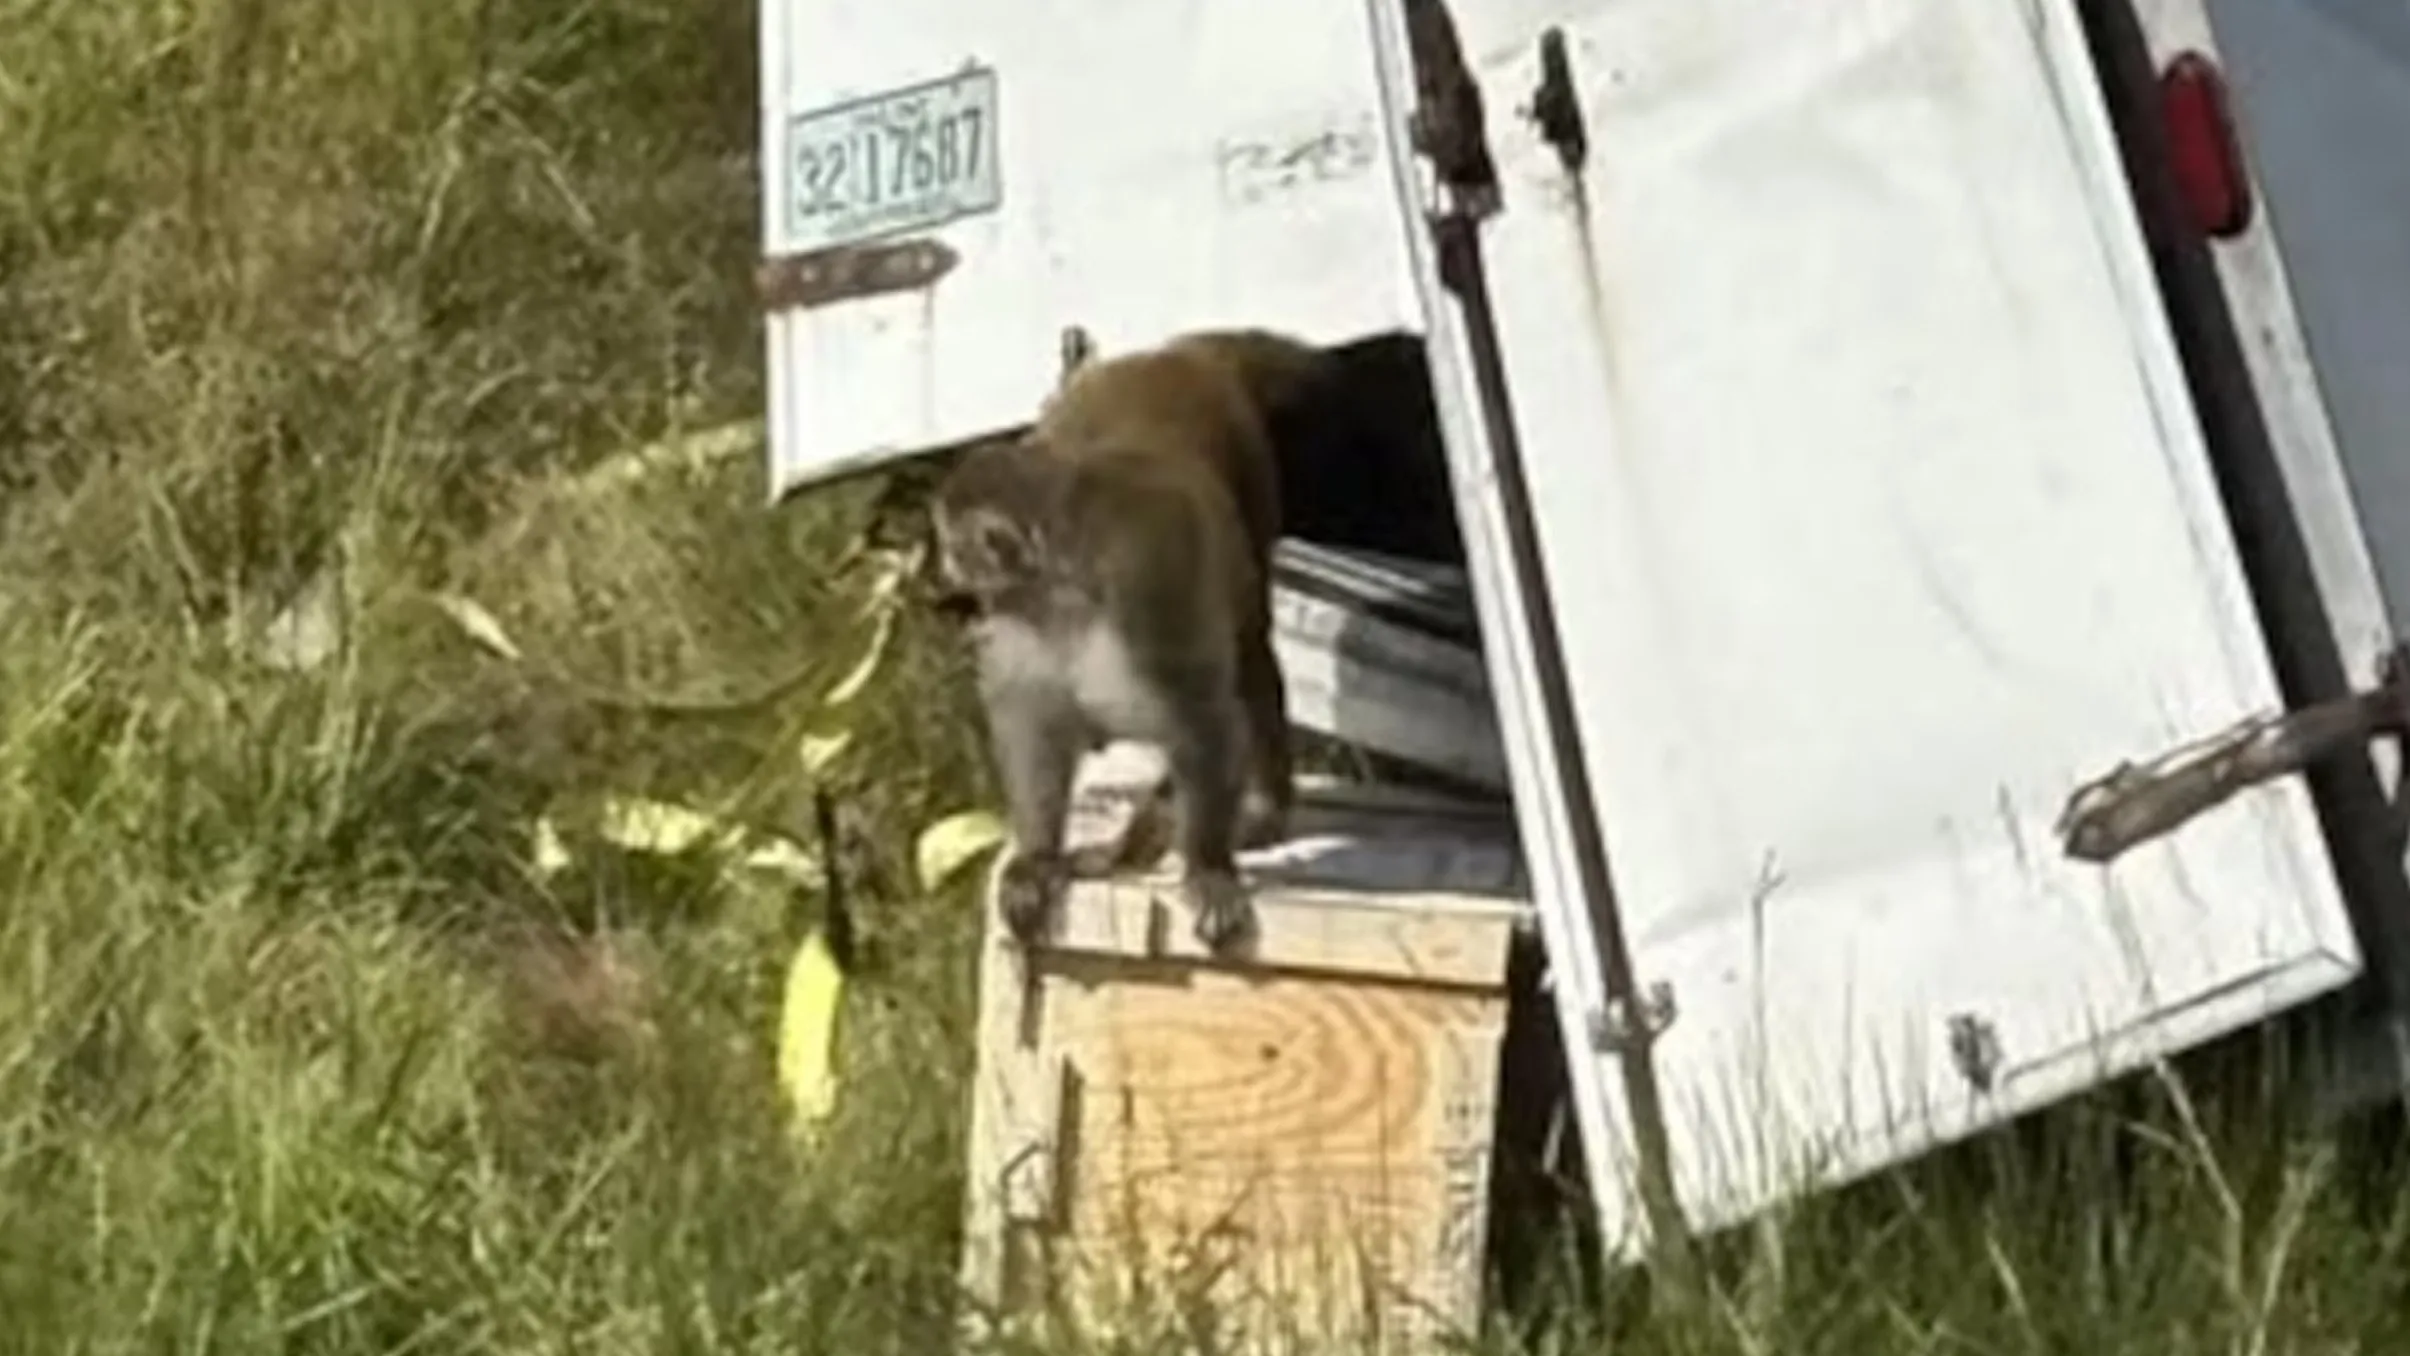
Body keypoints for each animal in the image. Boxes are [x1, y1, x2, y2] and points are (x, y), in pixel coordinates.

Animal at [930, 329, 1323, 953]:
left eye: (951, 543)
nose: (940, 568)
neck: (1064, 590)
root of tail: (1171, 355)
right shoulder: (1020, 623)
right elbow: (1033, 723)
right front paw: (1037, 858)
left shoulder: (1147, 586)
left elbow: (1204, 718)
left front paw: (1207, 868)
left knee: (1250, 655)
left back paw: (1260, 808)